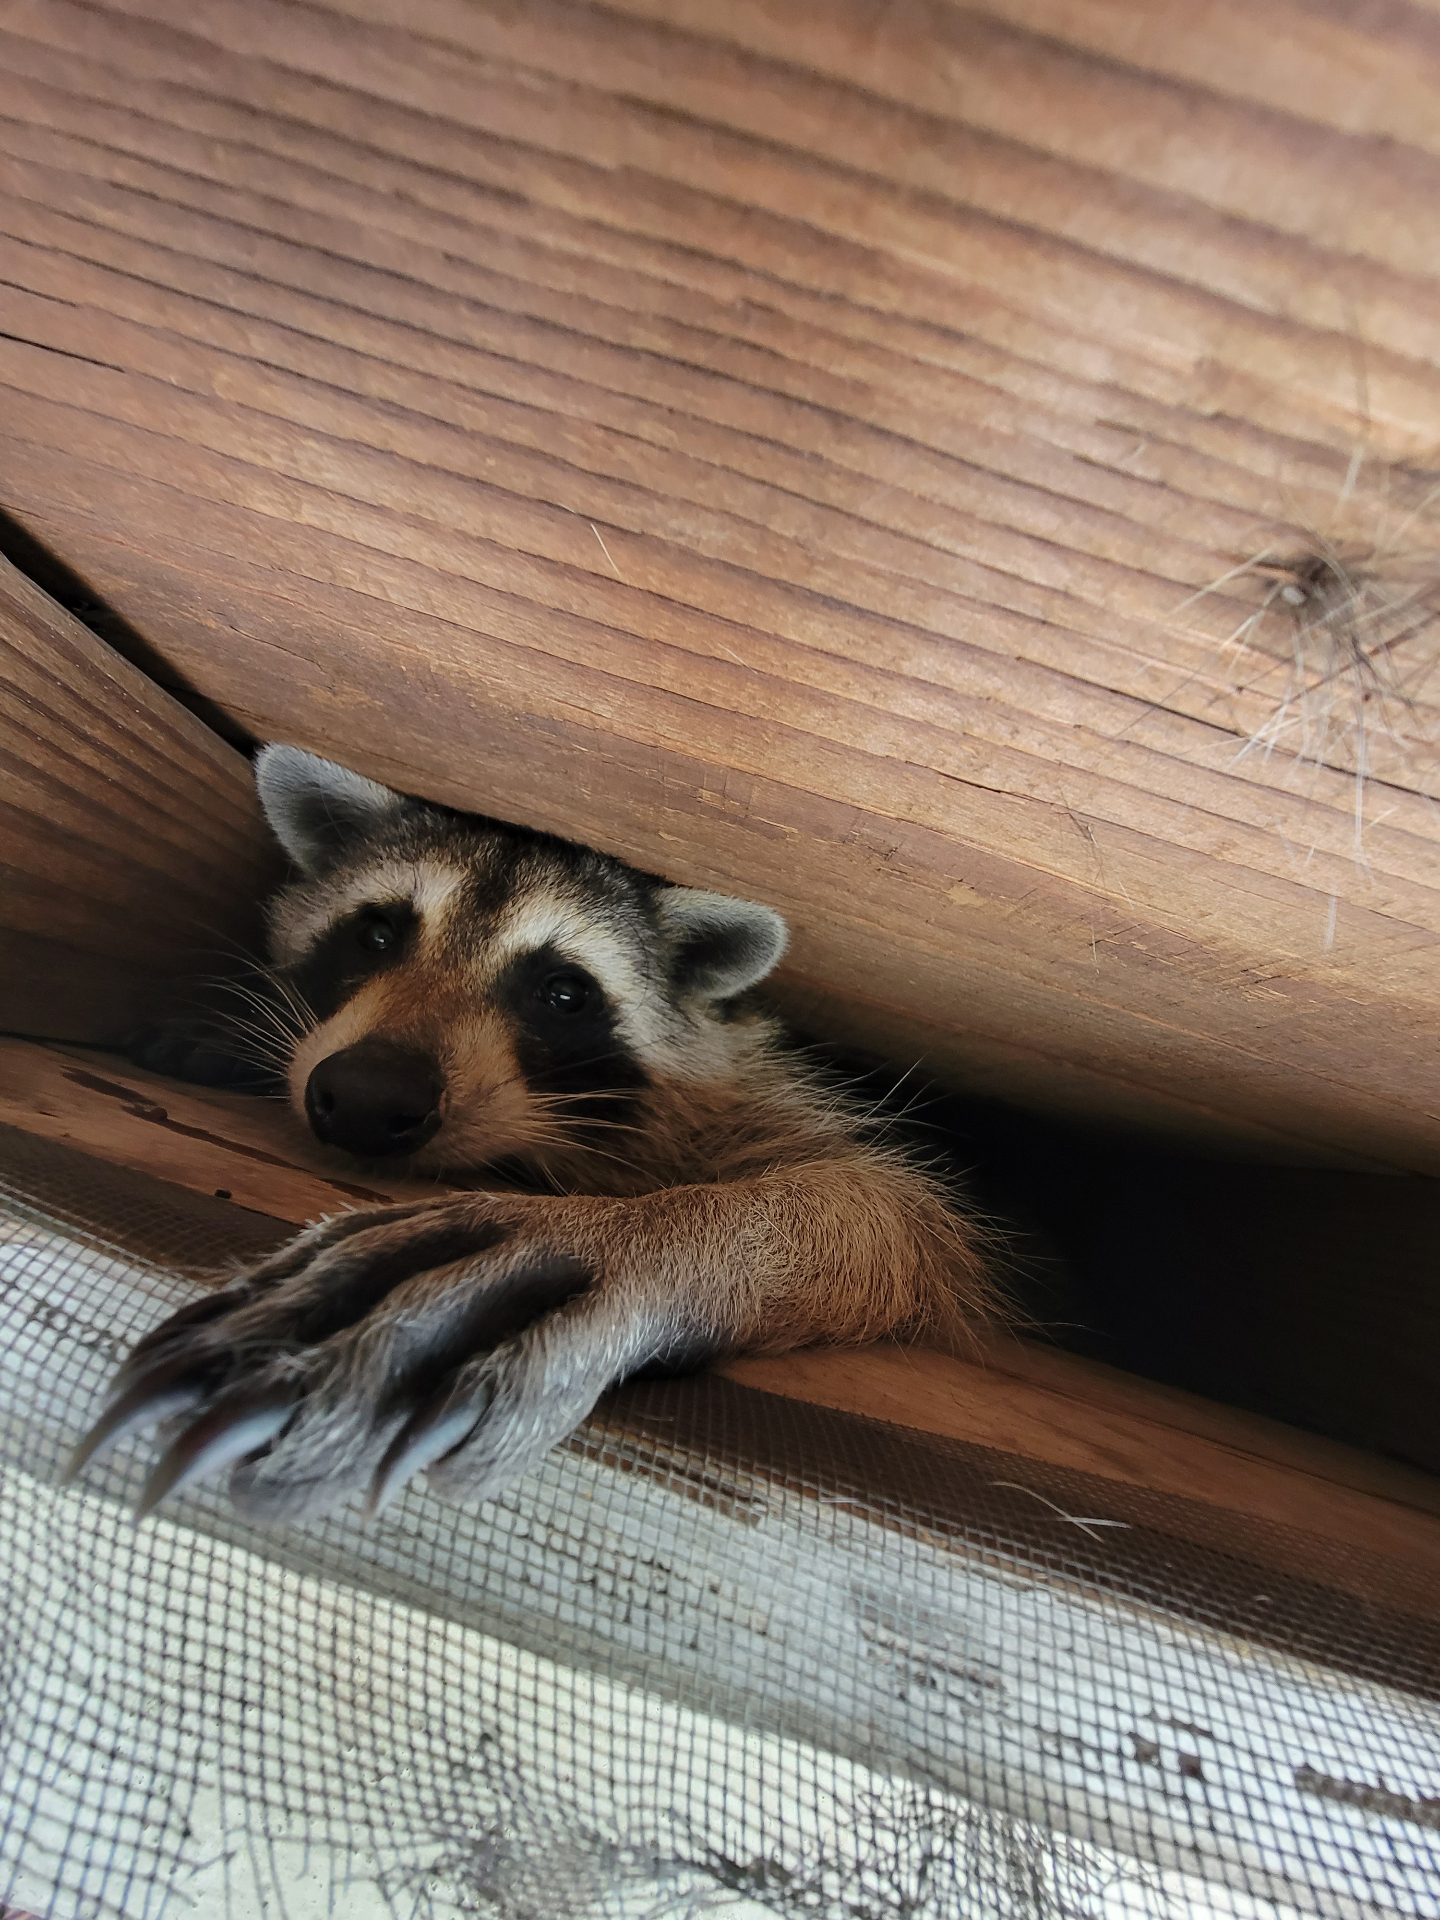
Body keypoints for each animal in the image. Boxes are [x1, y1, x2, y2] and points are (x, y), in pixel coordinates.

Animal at [71, 747, 996, 1525]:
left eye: (562, 993)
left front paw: (649, 1239)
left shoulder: (770, 1091)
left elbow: (891, 1212)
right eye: (377, 934)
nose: (367, 1098)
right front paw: (232, 1034)